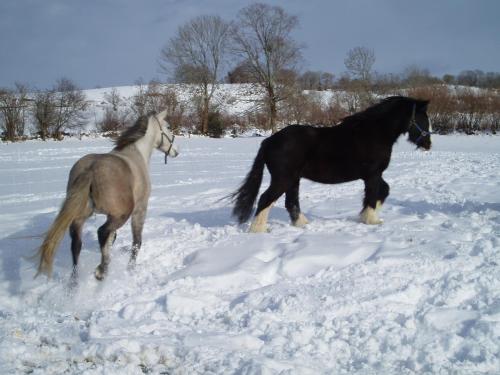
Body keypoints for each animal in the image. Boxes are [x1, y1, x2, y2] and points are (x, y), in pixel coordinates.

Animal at [232, 96, 432, 232]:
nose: (428, 144)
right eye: (422, 119)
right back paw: (258, 231)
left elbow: (384, 190)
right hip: (283, 179)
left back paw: (302, 224)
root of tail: (268, 141)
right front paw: (371, 220)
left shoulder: (373, 175)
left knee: (291, 203)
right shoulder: (373, 175)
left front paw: (368, 216)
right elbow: (374, 195)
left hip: (293, 180)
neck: (375, 132)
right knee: (266, 199)